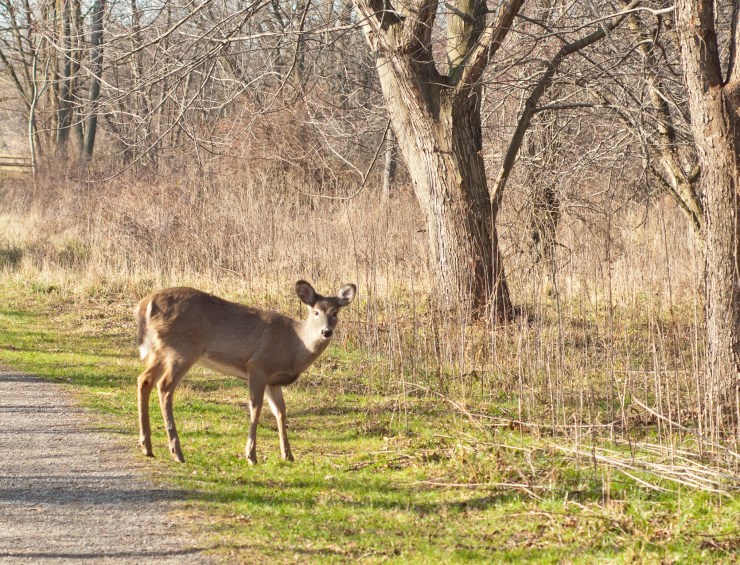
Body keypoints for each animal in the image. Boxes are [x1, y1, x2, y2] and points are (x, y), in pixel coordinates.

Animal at [135, 280, 356, 464]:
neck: (295, 344)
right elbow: (255, 408)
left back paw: (147, 446)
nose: (326, 332)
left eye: (335, 313)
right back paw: (176, 452)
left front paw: (288, 455)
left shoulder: (273, 381)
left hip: (161, 350)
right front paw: (251, 455)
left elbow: (280, 412)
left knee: (144, 380)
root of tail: (146, 304)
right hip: (182, 349)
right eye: (316, 312)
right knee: (164, 387)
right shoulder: (258, 366)